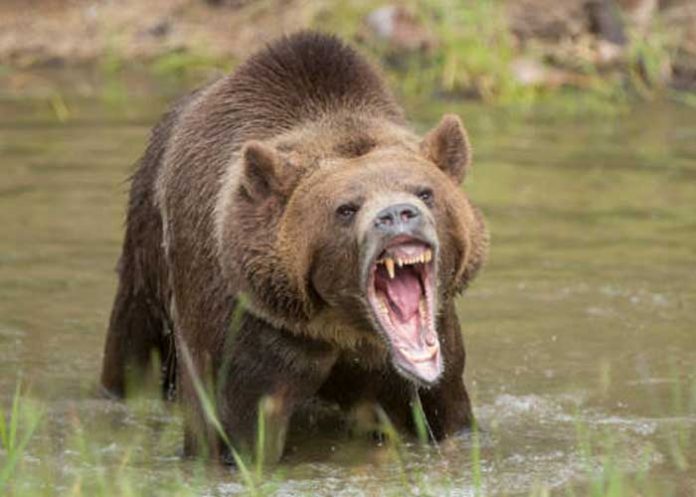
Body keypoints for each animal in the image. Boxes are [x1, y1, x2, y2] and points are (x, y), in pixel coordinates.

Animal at [100, 31, 488, 463]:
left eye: (425, 192)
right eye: (346, 208)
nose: (397, 214)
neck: (342, 324)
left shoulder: (430, 354)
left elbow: (445, 410)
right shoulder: (249, 331)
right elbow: (233, 430)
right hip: (147, 255)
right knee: (133, 348)